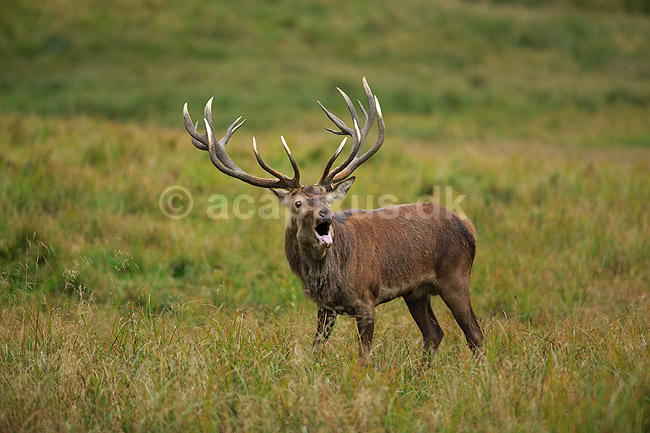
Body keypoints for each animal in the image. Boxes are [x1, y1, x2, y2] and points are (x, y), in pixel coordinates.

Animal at [183, 77, 483, 364]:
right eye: (298, 203)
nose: (325, 215)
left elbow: (364, 357)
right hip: (416, 292)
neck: (332, 279)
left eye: (327, 200)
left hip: (455, 275)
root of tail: (467, 226)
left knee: (474, 333)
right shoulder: (325, 307)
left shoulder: (366, 298)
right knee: (434, 333)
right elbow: (315, 349)